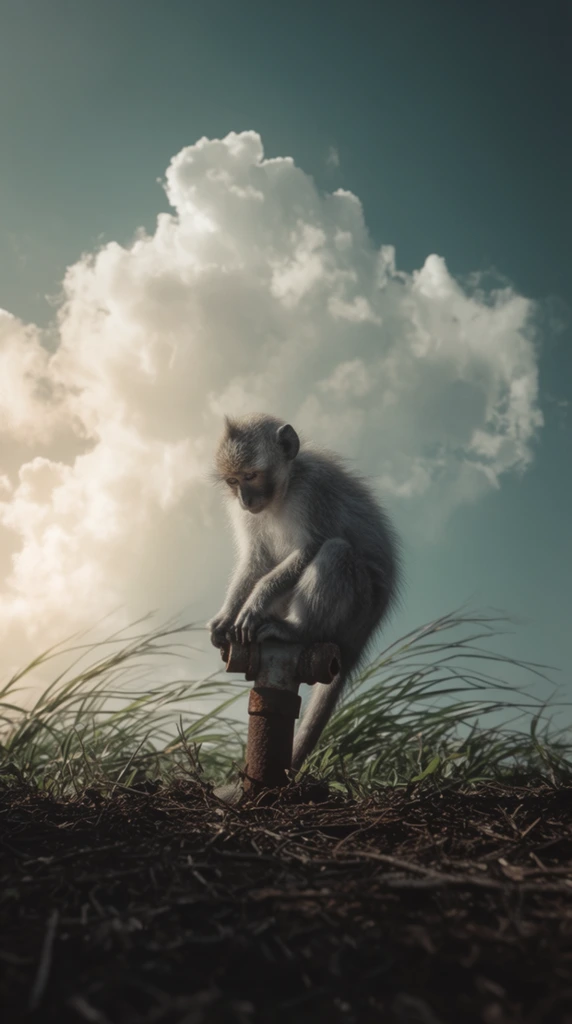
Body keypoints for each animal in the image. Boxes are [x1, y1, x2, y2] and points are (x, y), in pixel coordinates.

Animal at [207, 413, 401, 774]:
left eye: (251, 476)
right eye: (232, 481)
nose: (244, 500)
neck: (285, 489)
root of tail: (360, 640)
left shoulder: (313, 490)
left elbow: (311, 546)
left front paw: (254, 604)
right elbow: (257, 559)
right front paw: (225, 618)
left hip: (356, 613)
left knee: (337, 551)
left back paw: (296, 630)